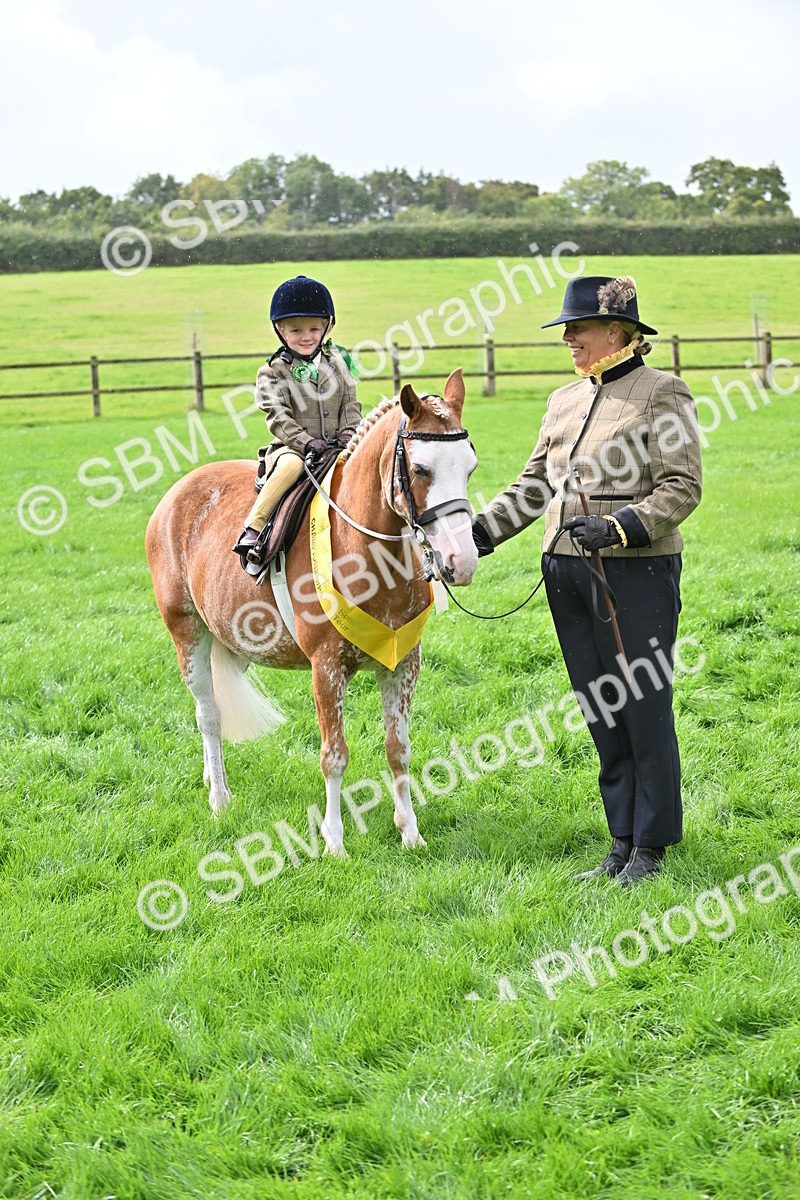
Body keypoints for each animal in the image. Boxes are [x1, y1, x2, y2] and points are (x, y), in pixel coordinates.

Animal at [145, 369, 478, 856]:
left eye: (470, 467)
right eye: (420, 469)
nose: (463, 560)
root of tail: (177, 493)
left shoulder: (402, 666)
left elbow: (398, 748)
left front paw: (410, 832)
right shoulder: (326, 668)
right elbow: (334, 755)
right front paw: (334, 842)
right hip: (187, 633)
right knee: (208, 715)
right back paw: (219, 798)